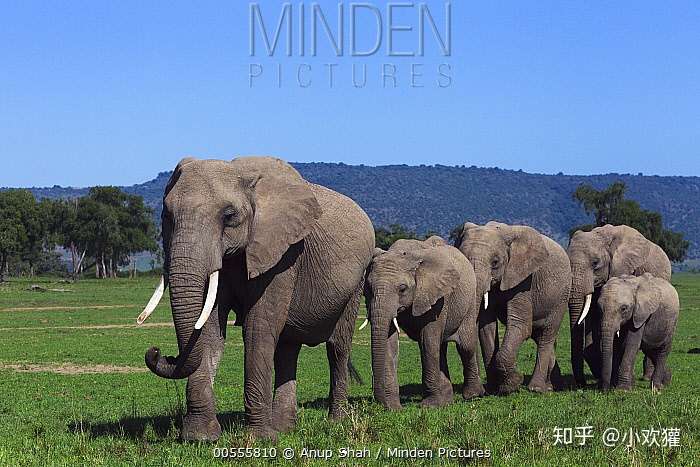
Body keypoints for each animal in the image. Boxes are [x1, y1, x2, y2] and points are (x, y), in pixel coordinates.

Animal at [138, 157, 378, 442]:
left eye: (229, 216)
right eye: (167, 215)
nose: (157, 352)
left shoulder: (283, 254)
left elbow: (258, 328)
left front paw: (259, 439)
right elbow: (208, 329)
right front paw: (200, 437)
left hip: (356, 283)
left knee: (337, 348)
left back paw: (334, 422)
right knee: (287, 350)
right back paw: (284, 428)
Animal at [360, 239, 482, 412]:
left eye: (402, 289)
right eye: (369, 288)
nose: (381, 404)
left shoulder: (437, 297)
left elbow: (428, 341)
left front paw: (429, 406)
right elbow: (390, 344)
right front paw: (393, 408)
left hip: (470, 300)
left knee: (465, 346)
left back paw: (473, 395)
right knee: (440, 348)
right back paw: (447, 401)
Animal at [452, 223, 572, 394]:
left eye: (495, 262)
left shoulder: (523, 279)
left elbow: (520, 325)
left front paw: (513, 383)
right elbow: (486, 328)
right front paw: (494, 389)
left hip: (561, 296)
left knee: (547, 334)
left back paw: (536, 388)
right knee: (540, 335)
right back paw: (551, 387)